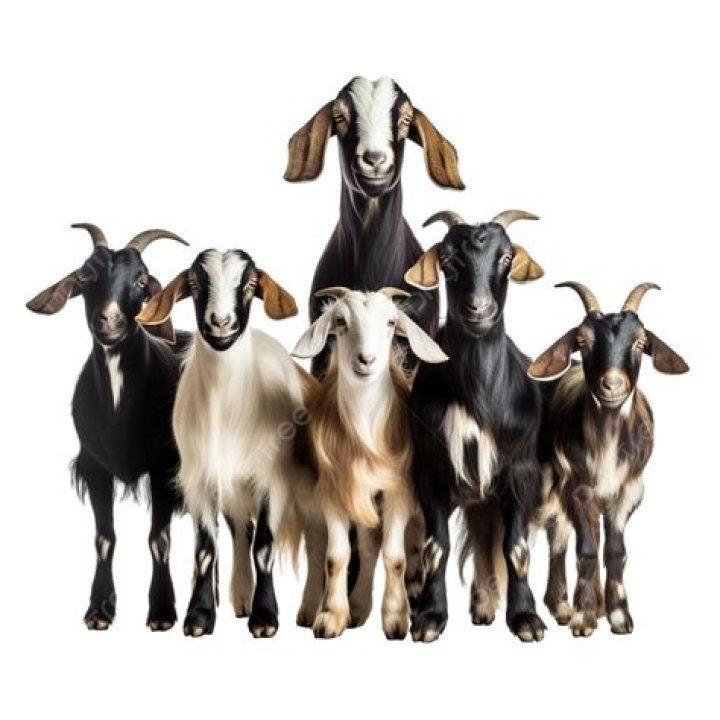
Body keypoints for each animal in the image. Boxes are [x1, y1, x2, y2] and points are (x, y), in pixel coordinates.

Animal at [26, 223, 189, 631]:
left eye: (142, 281)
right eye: (86, 276)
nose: (108, 321)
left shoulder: (164, 468)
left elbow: (159, 538)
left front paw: (162, 611)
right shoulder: (95, 466)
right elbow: (104, 538)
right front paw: (100, 609)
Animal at [137, 249, 316, 638]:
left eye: (249, 284)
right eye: (193, 283)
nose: (221, 322)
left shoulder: (271, 481)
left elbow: (264, 546)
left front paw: (265, 618)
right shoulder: (202, 480)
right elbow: (207, 549)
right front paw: (200, 616)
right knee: (240, 532)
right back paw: (241, 598)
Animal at [292, 288, 447, 639]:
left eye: (391, 322)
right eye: (340, 321)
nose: (366, 360)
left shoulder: (397, 492)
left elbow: (395, 556)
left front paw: (395, 620)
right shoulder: (336, 492)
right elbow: (336, 557)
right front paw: (331, 617)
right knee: (342, 547)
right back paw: (337, 609)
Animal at [404, 209, 547, 643]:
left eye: (506, 257)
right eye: (448, 261)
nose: (478, 310)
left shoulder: (520, 471)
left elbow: (515, 548)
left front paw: (526, 619)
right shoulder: (429, 472)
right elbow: (436, 547)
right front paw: (430, 617)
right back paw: (482, 606)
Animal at [528, 282, 688, 636]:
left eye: (641, 342)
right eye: (582, 342)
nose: (612, 384)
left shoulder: (627, 490)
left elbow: (615, 551)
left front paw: (618, 616)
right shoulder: (577, 487)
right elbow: (586, 550)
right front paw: (584, 619)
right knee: (553, 537)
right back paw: (563, 606)